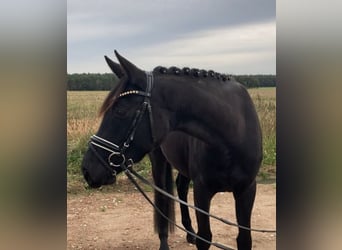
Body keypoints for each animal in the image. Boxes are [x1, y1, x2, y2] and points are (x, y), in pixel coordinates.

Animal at [81, 51, 264, 250]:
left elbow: (244, 239)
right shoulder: (202, 191)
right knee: (163, 197)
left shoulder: (247, 190)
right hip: (159, 162)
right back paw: (165, 240)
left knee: (181, 187)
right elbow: (205, 237)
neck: (232, 137)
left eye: (120, 110)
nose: (87, 169)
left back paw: (190, 232)